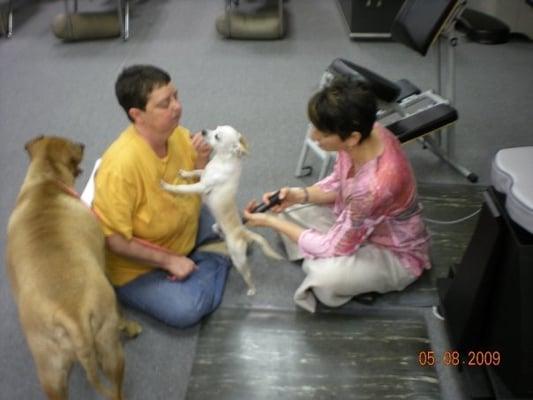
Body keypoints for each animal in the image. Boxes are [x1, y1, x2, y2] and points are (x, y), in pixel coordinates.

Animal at [5, 136, 141, 398]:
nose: (82, 144)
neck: (45, 183)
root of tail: (72, 315)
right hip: (110, 347)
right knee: (117, 388)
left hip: (51, 372)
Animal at [160, 126, 282, 296]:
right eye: (215, 128)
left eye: (217, 136)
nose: (203, 131)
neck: (222, 160)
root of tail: (242, 232)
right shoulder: (203, 173)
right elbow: (196, 171)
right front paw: (185, 173)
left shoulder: (202, 186)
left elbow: (183, 188)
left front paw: (167, 187)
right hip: (216, 227)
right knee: (217, 231)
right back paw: (220, 234)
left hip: (239, 261)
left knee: (248, 275)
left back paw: (252, 289)